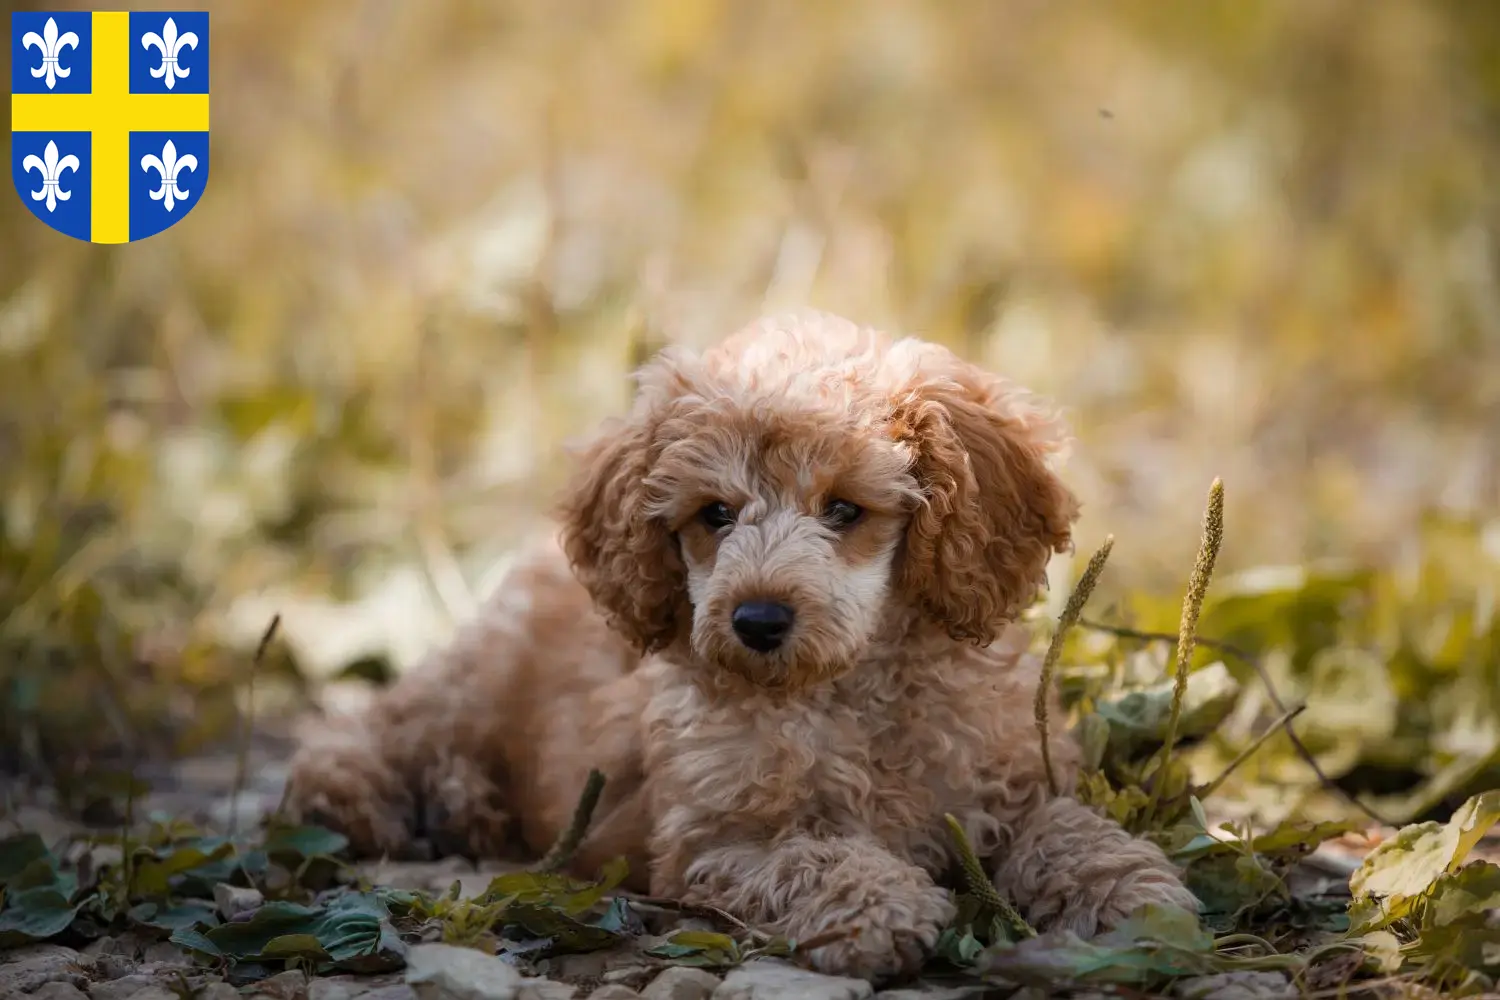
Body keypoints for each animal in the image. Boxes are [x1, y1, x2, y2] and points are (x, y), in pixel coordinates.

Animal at [282, 308, 1194, 983]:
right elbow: (807, 857)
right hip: (478, 677)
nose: (756, 619)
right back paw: (380, 795)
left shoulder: (1012, 778)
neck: (845, 687)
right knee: (379, 724)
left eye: (844, 510)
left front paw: (1130, 890)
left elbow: (1065, 826)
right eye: (713, 514)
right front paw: (881, 904)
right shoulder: (712, 840)